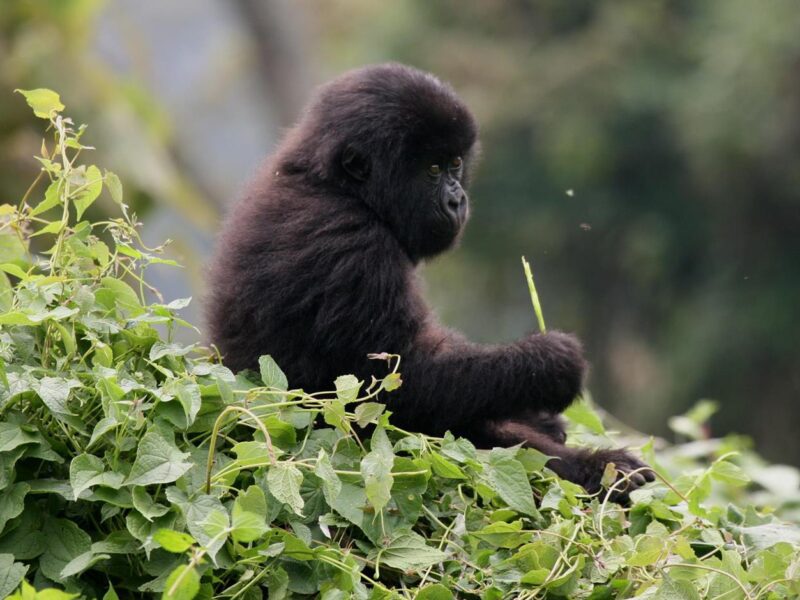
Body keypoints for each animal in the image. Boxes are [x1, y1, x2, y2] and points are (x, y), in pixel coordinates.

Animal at [209, 62, 652, 502]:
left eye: (455, 164)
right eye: (433, 170)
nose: (457, 200)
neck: (335, 185)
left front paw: (542, 414)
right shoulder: (352, 246)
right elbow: (403, 386)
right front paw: (549, 364)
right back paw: (600, 470)